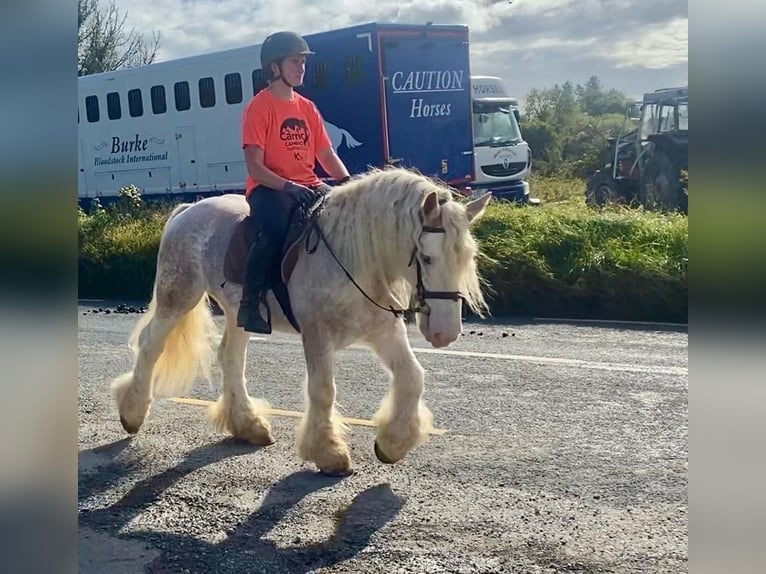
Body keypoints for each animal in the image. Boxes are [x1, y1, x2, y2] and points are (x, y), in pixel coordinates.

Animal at [113, 169, 492, 480]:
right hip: (179, 295)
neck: (354, 257)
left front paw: (393, 443)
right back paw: (132, 413)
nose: (445, 333)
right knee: (151, 345)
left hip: (238, 312)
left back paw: (248, 425)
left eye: (468, 257)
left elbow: (413, 377)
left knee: (230, 358)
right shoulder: (317, 335)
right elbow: (323, 391)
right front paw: (329, 453)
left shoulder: (384, 331)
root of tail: (187, 210)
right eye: (427, 257)